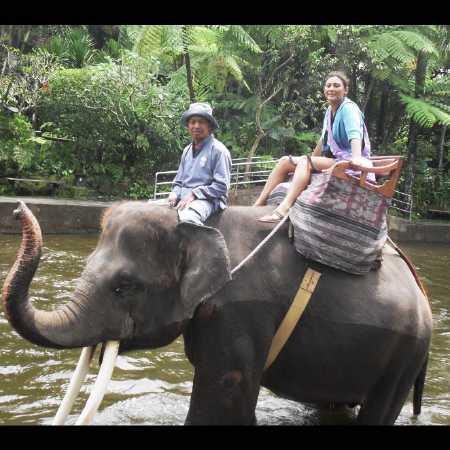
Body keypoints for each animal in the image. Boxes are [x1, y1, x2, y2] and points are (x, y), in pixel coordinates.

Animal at [2, 200, 432, 426]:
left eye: (125, 286)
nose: (18, 209)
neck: (200, 225)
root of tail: (421, 288)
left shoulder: (239, 316)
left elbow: (223, 394)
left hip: (405, 355)